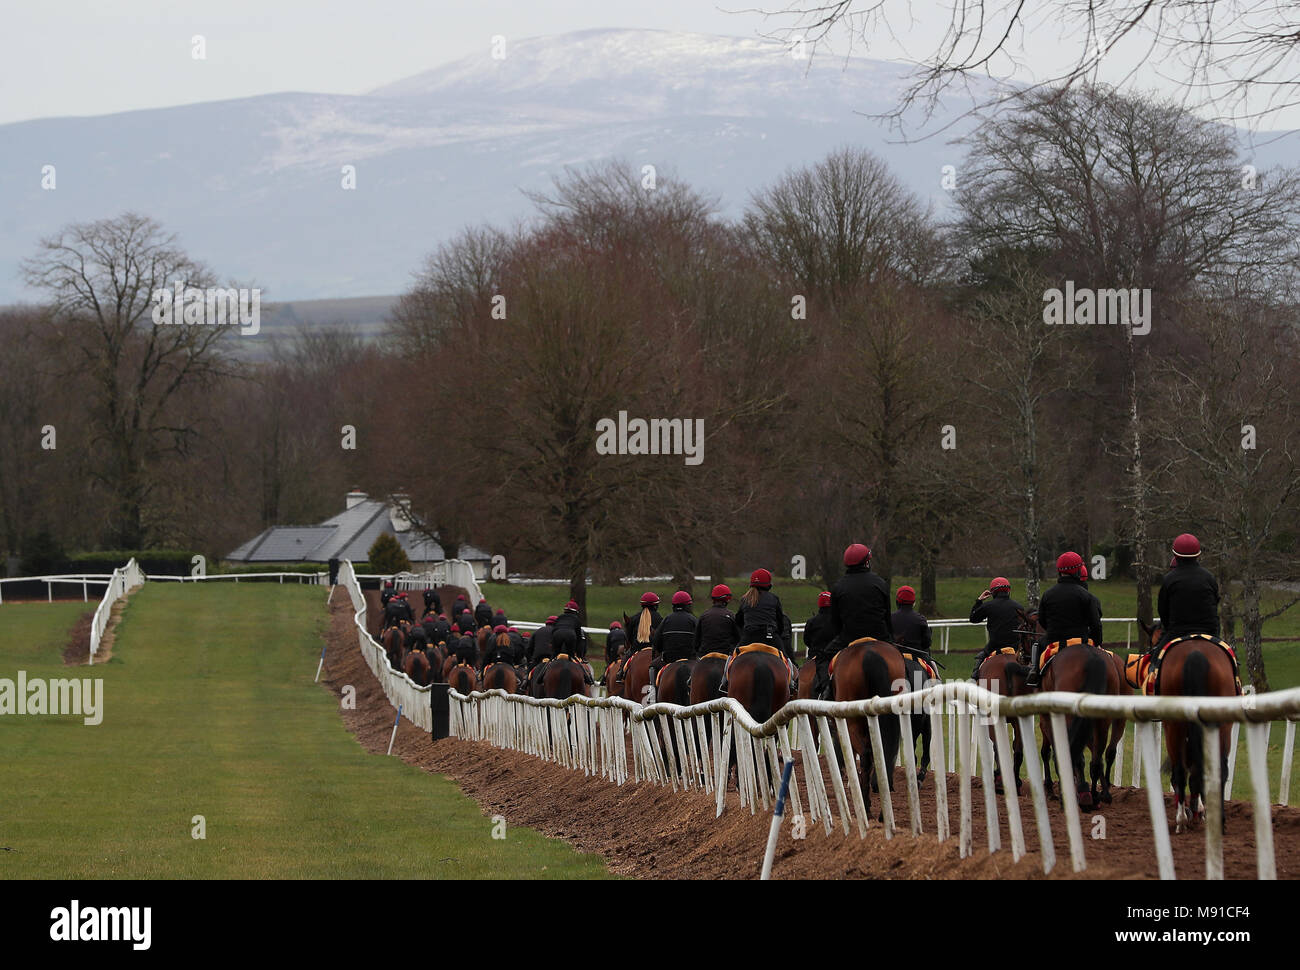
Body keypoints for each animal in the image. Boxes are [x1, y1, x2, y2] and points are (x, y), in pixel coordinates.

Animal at [1159, 634, 1237, 832]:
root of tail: (1195, 654)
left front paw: (1195, 810)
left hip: (1175, 726)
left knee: (1181, 771)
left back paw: (1182, 819)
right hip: (1221, 724)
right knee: (1216, 768)